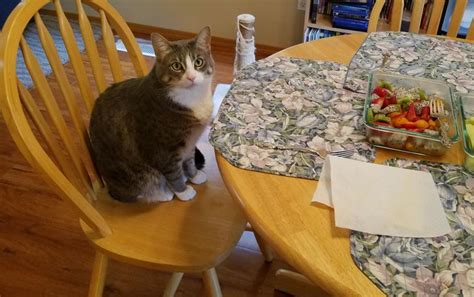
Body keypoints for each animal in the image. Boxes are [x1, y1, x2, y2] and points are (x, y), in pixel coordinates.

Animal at [89, 27, 215, 201]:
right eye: (176, 66)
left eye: (198, 62)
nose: (191, 77)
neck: (191, 97)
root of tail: (110, 191)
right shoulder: (161, 150)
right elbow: (173, 172)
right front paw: (183, 192)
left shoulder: (190, 141)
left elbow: (189, 160)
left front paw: (194, 176)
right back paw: (164, 193)